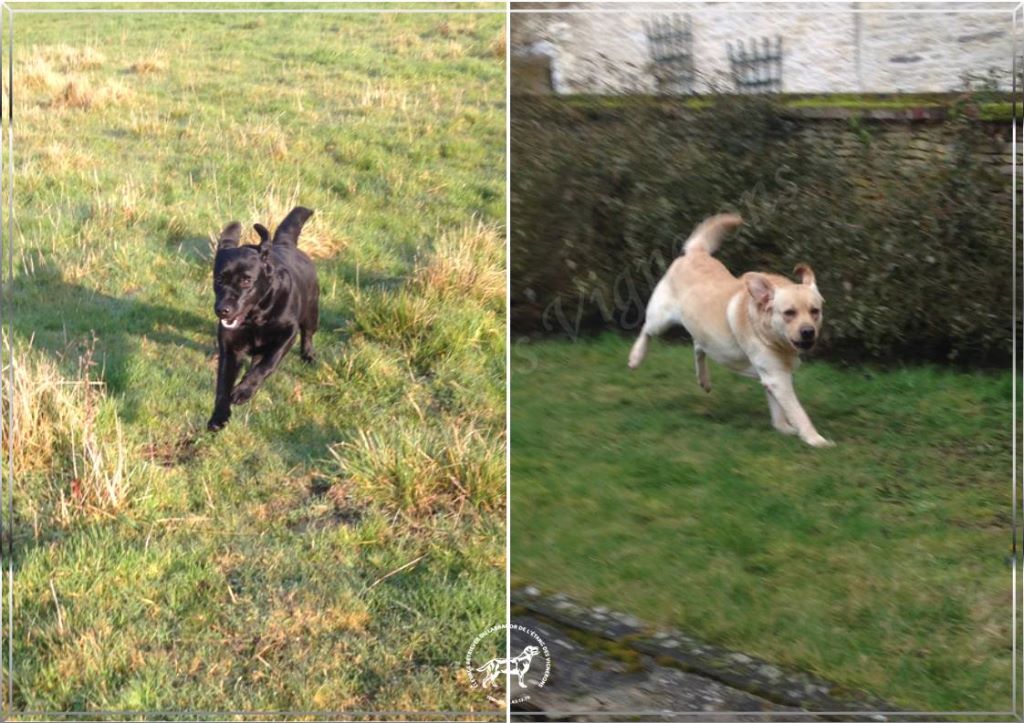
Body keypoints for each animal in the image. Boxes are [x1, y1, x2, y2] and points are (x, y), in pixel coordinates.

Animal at [207, 202, 319, 428]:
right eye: (219, 280)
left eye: (246, 280)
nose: (223, 309)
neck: (255, 319)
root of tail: (286, 244)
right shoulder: (230, 347)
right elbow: (223, 383)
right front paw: (219, 416)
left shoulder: (288, 334)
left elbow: (268, 363)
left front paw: (243, 390)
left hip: (312, 312)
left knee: (308, 334)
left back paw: (308, 355)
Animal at [622, 213, 831, 444]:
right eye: (789, 313)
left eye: (814, 311)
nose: (808, 331)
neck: (770, 335)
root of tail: (696, 251)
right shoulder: (777, 378)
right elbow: (798, 412)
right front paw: (816, 439)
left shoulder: (774, 376)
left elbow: (779, 409)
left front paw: (782, 428)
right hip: (660, 318)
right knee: (646, 330)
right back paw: (636, 356)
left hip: (702, 331)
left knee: (698, 346)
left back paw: (704, 379)